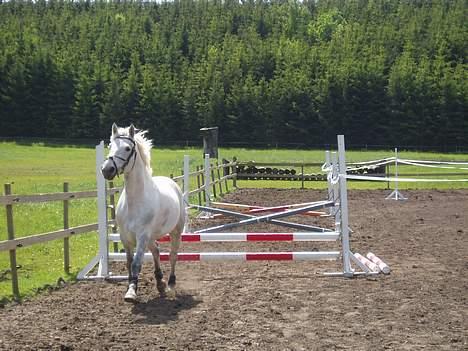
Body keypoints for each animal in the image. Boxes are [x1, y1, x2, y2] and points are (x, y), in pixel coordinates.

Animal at [101, 123, 185, 302]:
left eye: (127, 148)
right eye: (110, 146)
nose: (107, 170)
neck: (135, 202)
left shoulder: (141, 236)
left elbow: (136, 263)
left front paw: (132, 292)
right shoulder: (125, 237)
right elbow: (128, 262)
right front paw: (130, 287)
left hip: (175, 231)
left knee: (173, 255)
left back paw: (170, 285)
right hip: (151, 237)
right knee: (156, 251)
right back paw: (160, 283)